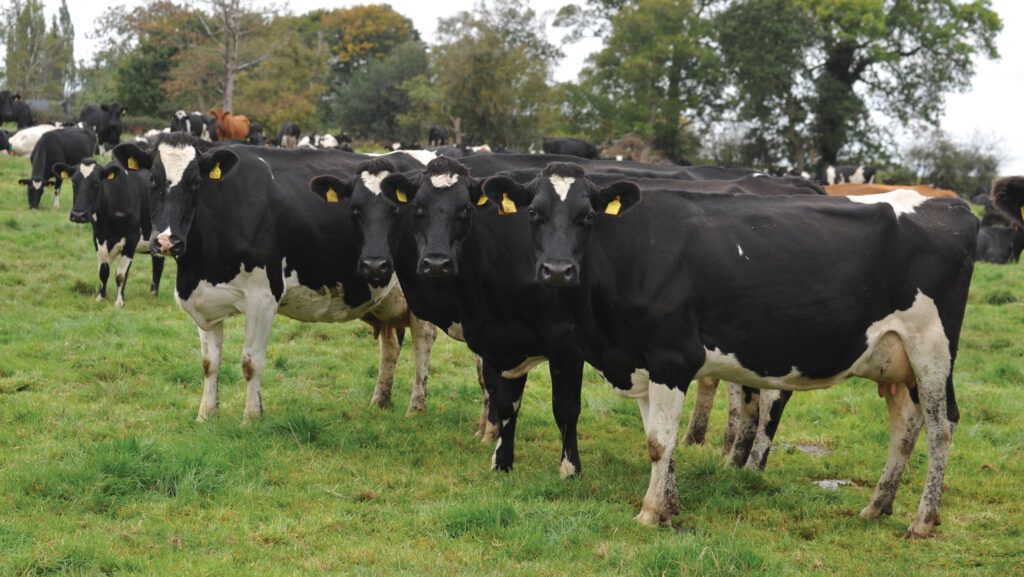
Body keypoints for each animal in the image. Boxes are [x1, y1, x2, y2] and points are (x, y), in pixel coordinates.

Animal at [56, 157, 165, 306]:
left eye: (96, 183)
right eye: (73, 182)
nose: (78, 215)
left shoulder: (132, 239)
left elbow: (121, 275)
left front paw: (119, 301)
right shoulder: (97, 237)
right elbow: (103, 272)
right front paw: (100, 297)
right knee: (158, 264)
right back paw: (153, 294)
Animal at [111, 134, 437, 422]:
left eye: (195, 183)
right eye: (152, 181)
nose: (167, 241)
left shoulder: (263, 297)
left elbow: (250, 362)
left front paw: (252, 417)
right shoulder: (205, 300)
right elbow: (209, 363)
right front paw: (206, 415)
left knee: (423, 341)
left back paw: (416, 408)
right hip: (386, 297)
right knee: (391, 345)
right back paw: (379, 401)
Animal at [483, 161, 977, 538]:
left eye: (587, 216)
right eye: (533, 214)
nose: (557, 269)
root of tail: (951, 204)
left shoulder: (671, 357)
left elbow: (659, 444)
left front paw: (649, 512)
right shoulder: (640, 362)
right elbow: (656, 439)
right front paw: (670, 507)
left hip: (932, 348)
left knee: (941, 426)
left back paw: (922, 521)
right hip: (896, 360)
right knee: (905, 424)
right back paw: (877, 506)